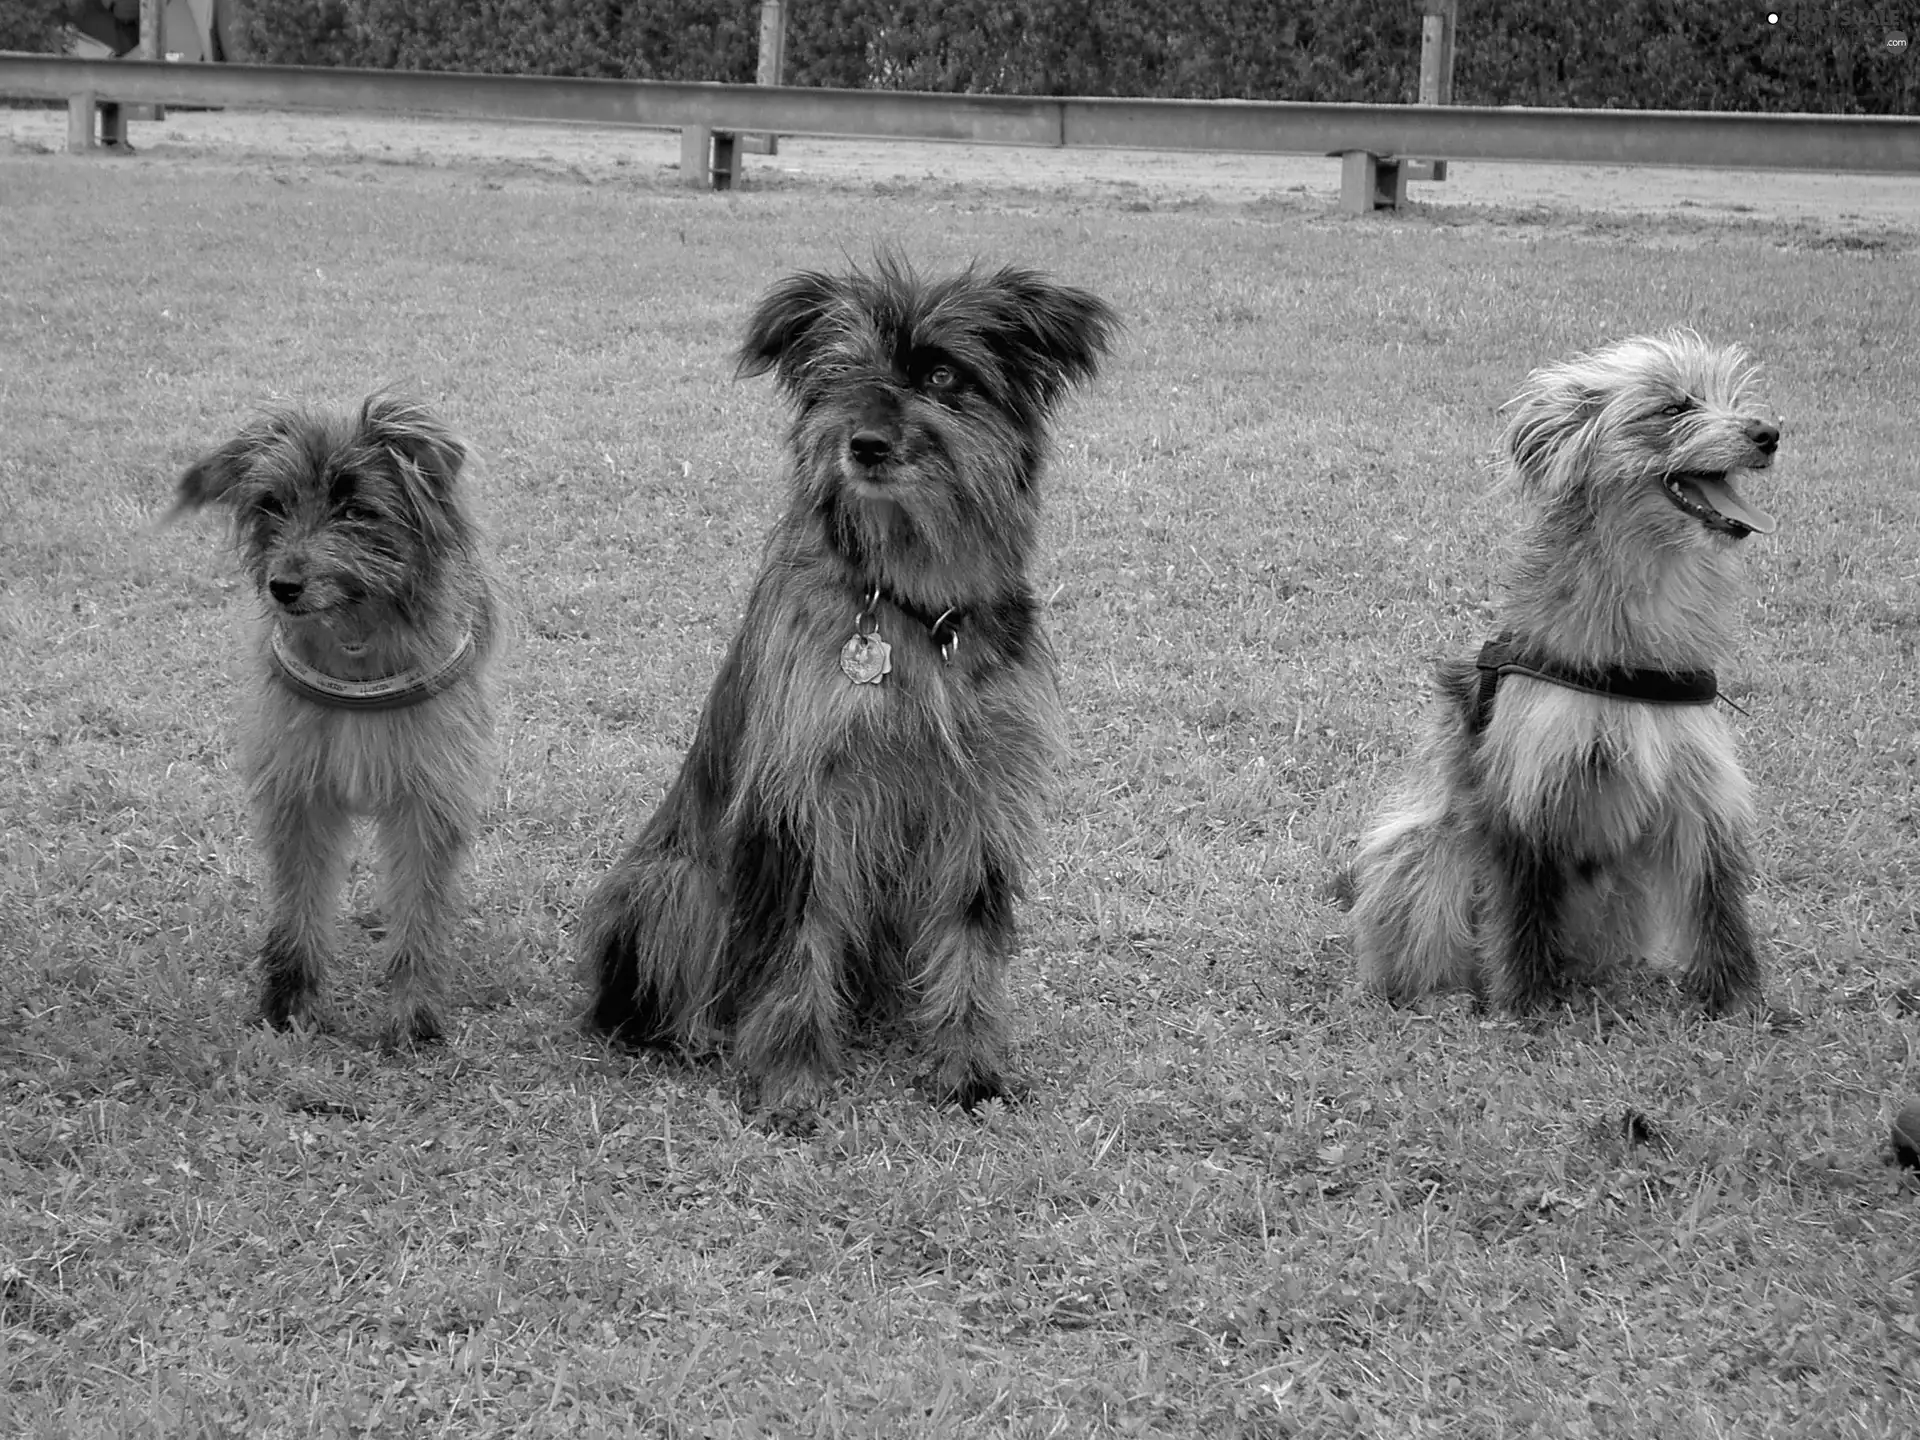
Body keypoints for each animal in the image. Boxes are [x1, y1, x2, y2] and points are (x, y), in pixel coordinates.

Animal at [170, 395, 503, 1052]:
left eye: (355, 510)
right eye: (273, 504)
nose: (284, 586)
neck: (354, 647)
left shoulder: (429, 802)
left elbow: (420, 914)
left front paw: (412, 1019)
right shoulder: (299, 798)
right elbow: (297, 911)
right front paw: (288, 1008)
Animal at [576, 257, 1121, 1128]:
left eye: (942, 375)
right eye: (840, 374)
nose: (862, 444)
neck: (917, 608)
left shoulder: (982, 798)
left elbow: (967, 935)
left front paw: (968, 1063)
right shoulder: (802, 801)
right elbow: (798, 943)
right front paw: (791, 1078)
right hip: (670, 883)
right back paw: (700, 1032)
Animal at [1351, 334, 1781, 1021]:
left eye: (1733, 400)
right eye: (1672, 408)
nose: (1769, 433)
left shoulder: (1701, 793)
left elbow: (1717, 907)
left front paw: (1737, 1002)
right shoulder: (1525, 799)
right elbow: (1520, 909)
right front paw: (1522, 1005)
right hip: (1423, 849)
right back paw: (1443, 995)